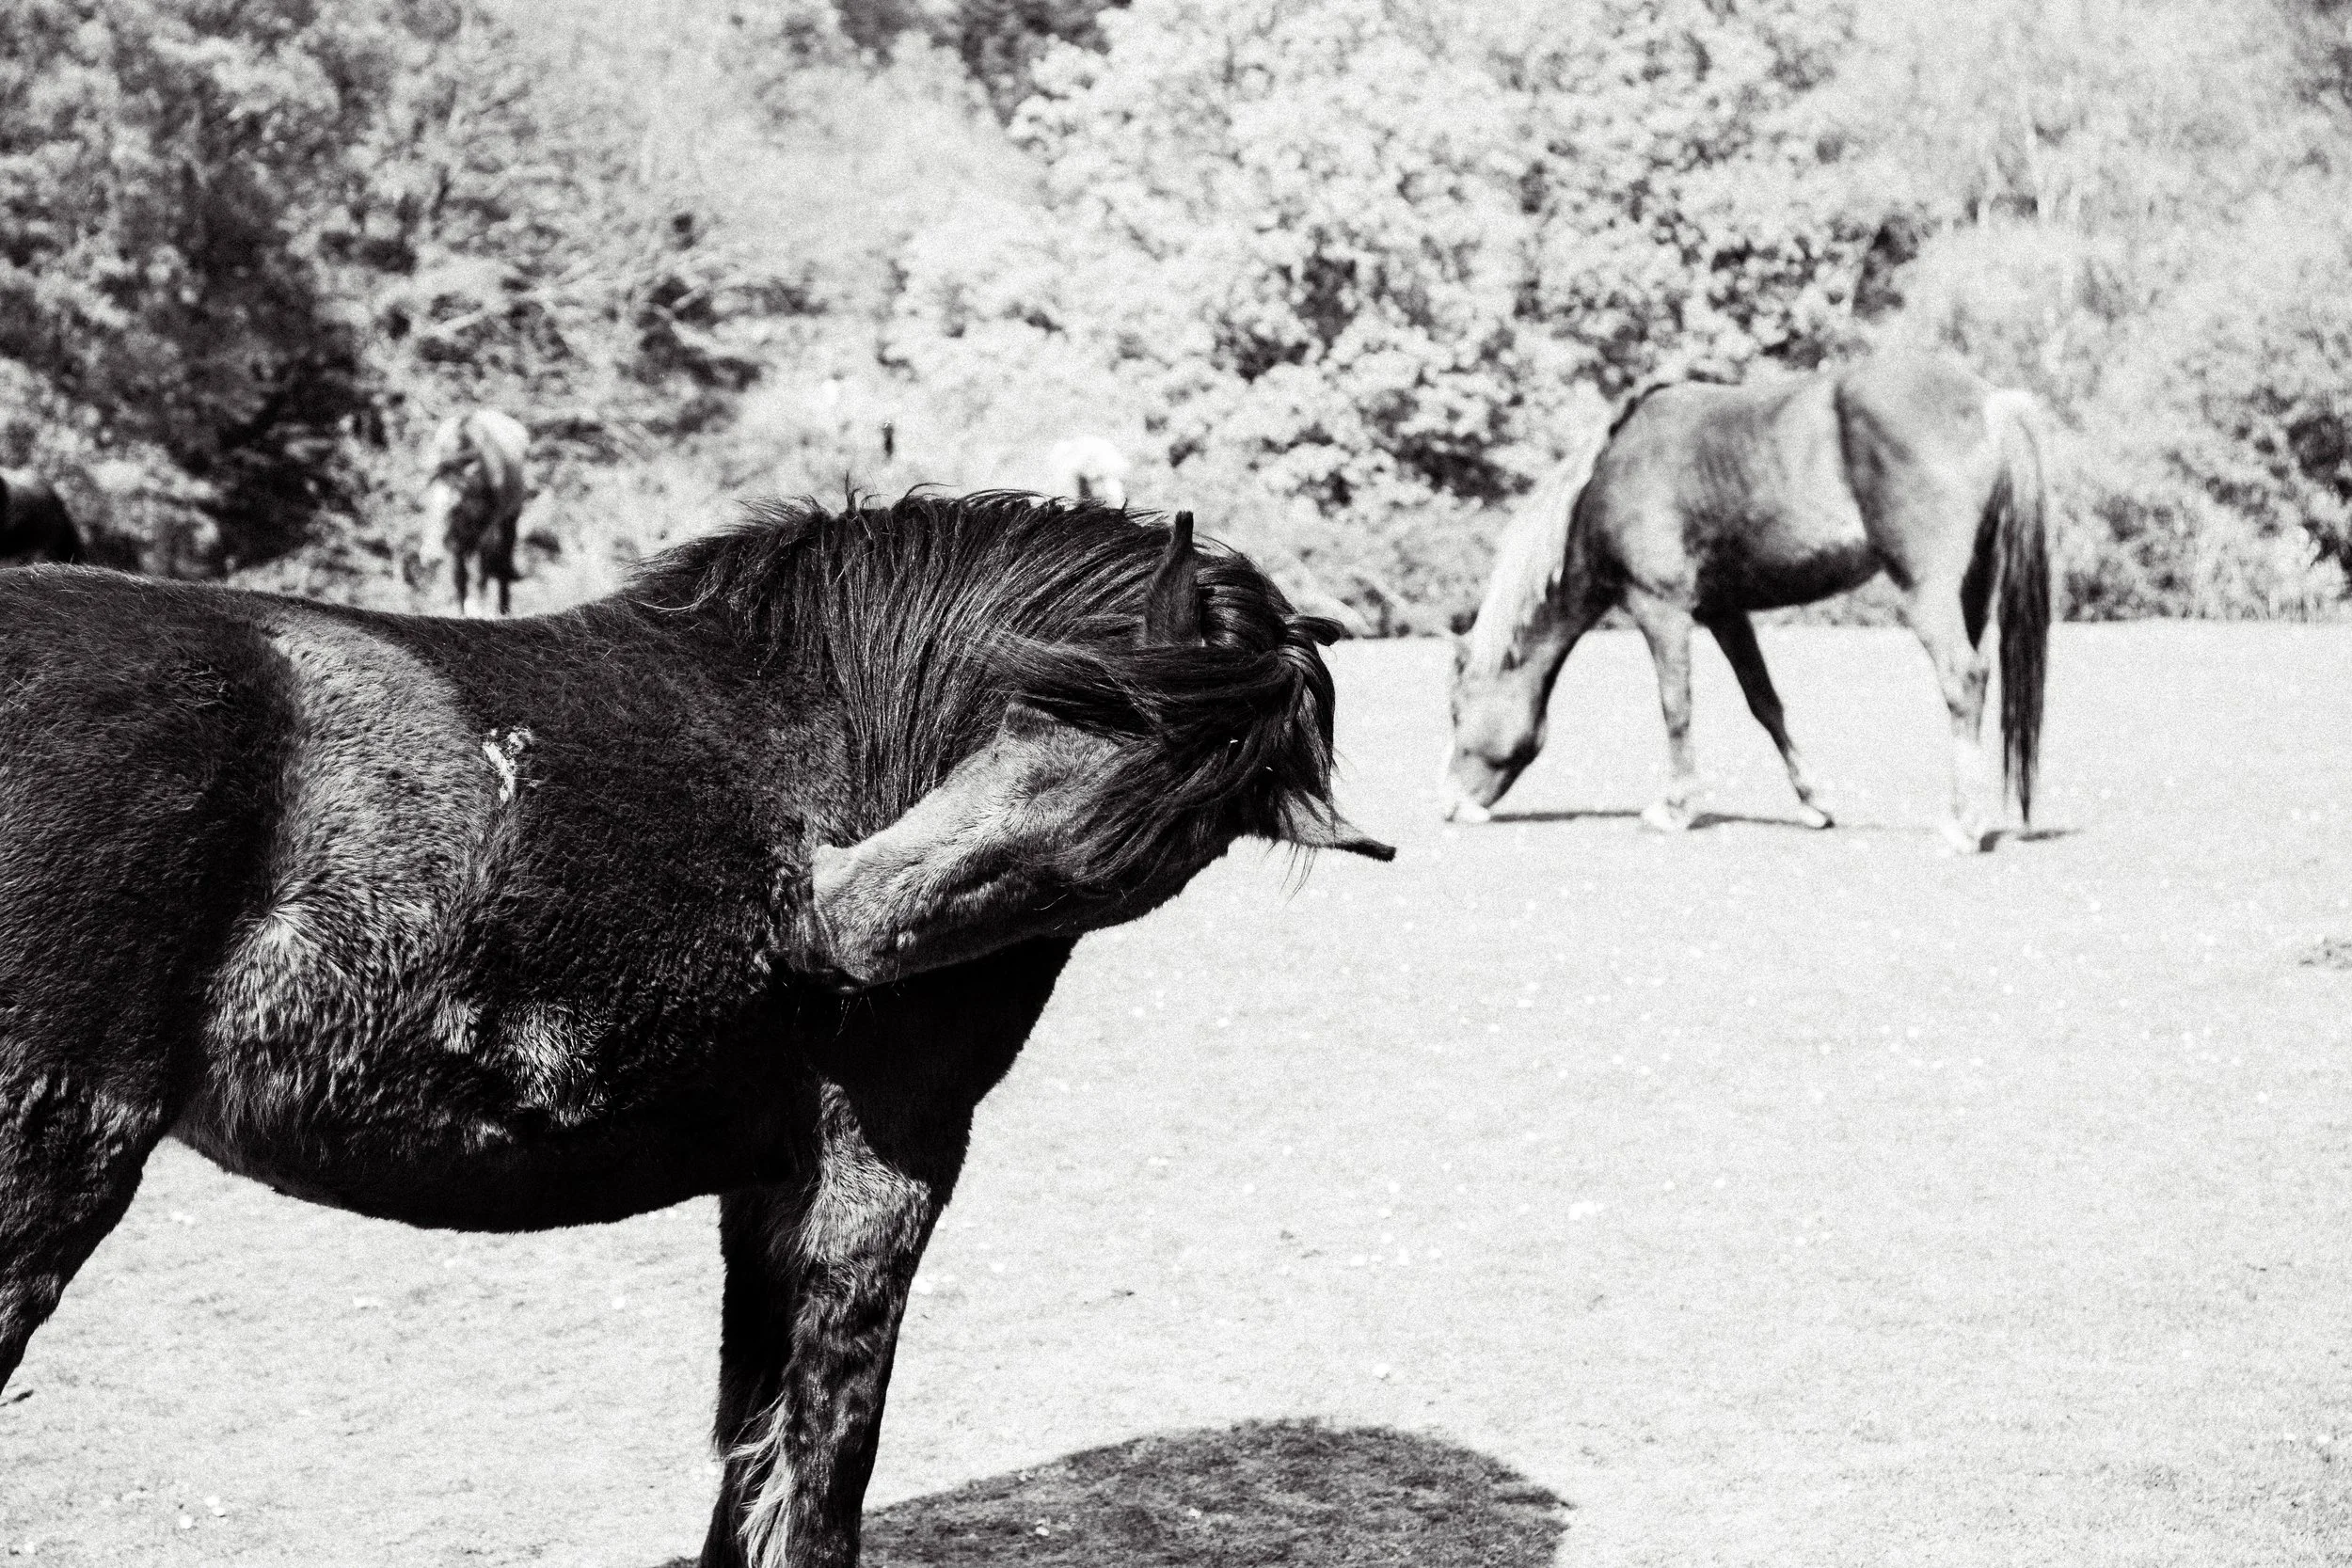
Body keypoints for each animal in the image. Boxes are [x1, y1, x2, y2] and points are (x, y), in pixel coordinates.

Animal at [0, 492, 1391, 1568]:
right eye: (1067, 701)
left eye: (1160, 844)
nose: (830, 919)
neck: (827, 724)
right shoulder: (878, 1176)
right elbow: (823, 1463)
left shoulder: (774, 1185)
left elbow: (756, 1452)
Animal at [422, 409, 530, 616]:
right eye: (427, 504)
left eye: (455, 507)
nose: (430, 556)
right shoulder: (457, 539)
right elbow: (460, 577)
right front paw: (460, 612)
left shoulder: (487, 530)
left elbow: (482, 573)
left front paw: (480, 610)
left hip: (510, 520)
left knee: (503, 563)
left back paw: (504, 608)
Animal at [1444, 352, 2049, 853]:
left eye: (1454, 711)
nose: (1449, 804)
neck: (1610, 480)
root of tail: (1988, 400)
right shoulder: (1724, 614)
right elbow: (1765, 703)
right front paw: (1813, 803)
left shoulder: (1660, 611)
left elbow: (1676, 707)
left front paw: (1675, 807)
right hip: (1972, 589)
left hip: (1926, 592)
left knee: (1963, 679)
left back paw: (1963, 825)